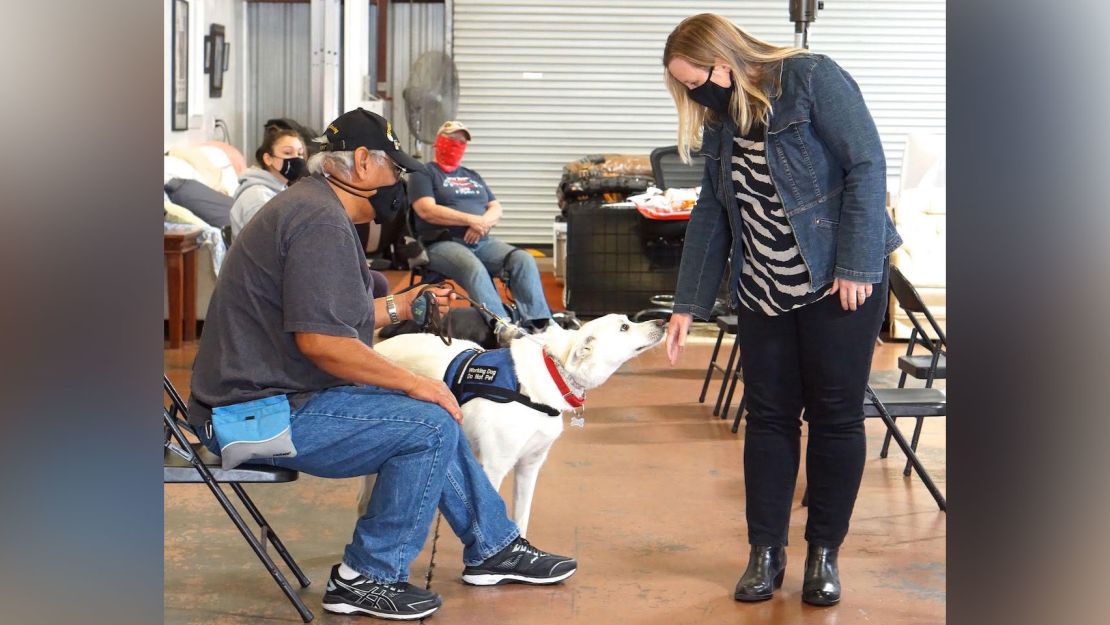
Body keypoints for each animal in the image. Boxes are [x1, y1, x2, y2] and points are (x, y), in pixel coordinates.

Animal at [361, 315, 666, 535]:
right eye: (625, 327)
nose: (662, 321)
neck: (551, 374)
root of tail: (375, 347)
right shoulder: (494, 467)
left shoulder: (529, 467)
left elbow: (521, 518)